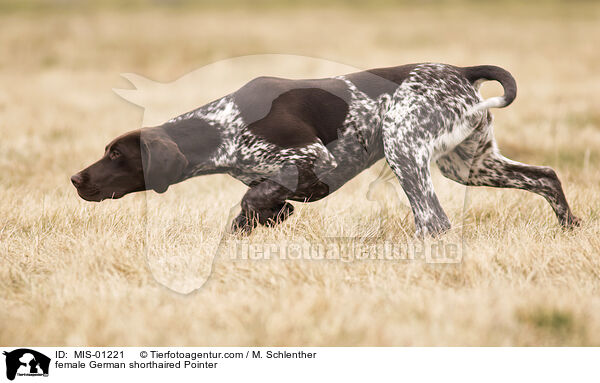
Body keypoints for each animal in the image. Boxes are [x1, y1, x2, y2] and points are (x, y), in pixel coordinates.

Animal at [71, 62, 580, 237]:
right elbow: (263, 206)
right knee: (546, 176)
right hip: (470, 165)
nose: (75, 179)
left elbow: (255, 198)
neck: (221, 126)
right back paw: (570, 227)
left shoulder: (314, 158)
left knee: (433, 221)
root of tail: (460, 70)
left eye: (116, 156)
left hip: (403, 148)